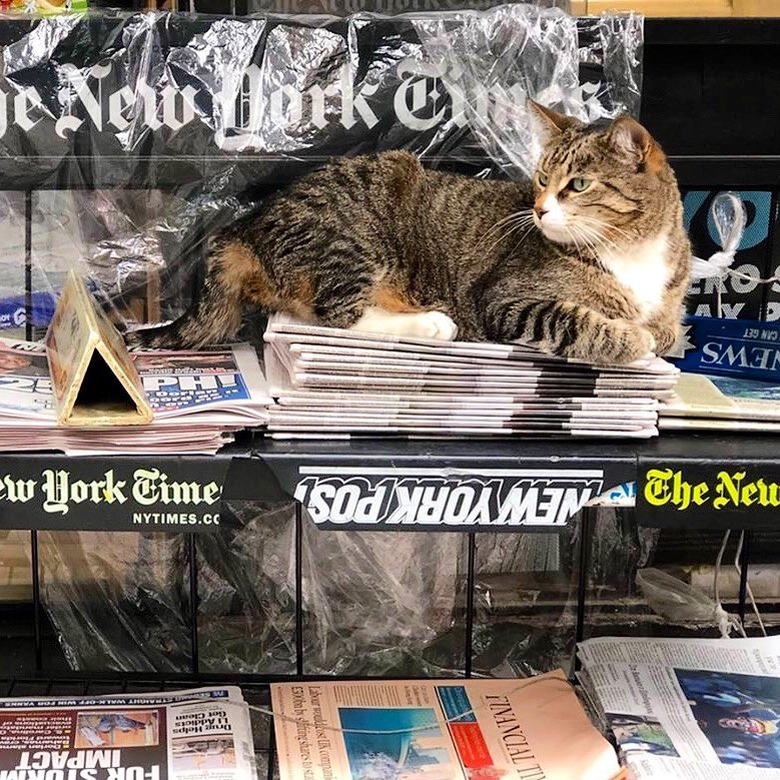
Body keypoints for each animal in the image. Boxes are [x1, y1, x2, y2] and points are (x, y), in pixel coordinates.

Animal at [131, 101, 692, 366]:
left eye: (577, 185)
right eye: (539, 179)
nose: (538, 210)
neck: (633, 251)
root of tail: (244, 225)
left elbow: (668, 329)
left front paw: (656, 332)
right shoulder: (506, 299)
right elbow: (580, 320)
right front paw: (631, 338)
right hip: (350, 241)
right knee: (335, 318)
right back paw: (431, 324)